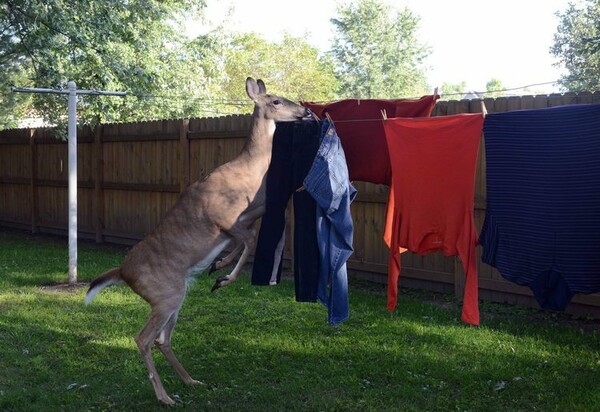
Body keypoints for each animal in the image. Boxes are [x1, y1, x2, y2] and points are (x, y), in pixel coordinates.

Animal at [85, 78, 310, 406]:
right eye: (277, 101)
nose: (305, 111)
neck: (250, 171)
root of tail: (123, 273)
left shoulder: (249, 216)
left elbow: (247, 238)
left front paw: (218, 266)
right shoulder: (225, 219)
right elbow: (251, 240)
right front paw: (223, 277)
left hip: (175, 295)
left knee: (162, 339)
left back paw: (190, 380)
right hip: (165, 294)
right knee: (143, 338)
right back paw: (165, 397)